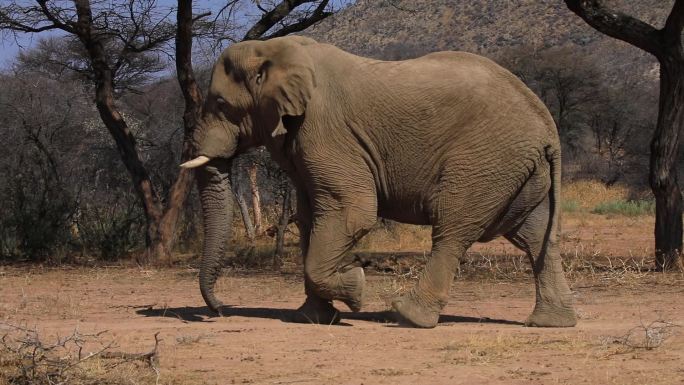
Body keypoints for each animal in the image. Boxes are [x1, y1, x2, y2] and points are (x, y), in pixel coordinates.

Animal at [180, 35, 576, 328]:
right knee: (535, 236)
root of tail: (546, 124)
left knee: (454, 228)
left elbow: (351, 211)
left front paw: (356, 288)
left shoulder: (324, 129)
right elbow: (311, 218)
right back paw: (550, 323)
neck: (276, 49)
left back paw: (407, 315)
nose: (219, 310)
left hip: (485, 160)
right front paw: (313, 317)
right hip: (517, 169)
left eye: (220, 104)